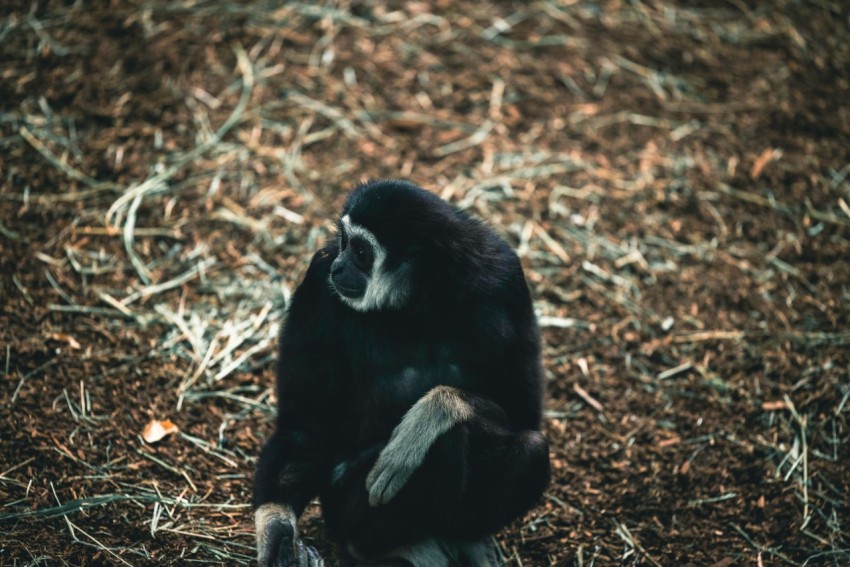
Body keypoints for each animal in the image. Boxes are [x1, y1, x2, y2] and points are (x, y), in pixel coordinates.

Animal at [252, 180, 548, 564]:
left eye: (361, 251)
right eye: (343, 241)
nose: (339, 266)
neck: (420, 302)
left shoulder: (507, 281)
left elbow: (523, 412)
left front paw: (436, 410)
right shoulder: (318, 283)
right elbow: (303, 429)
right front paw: (276, 527)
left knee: (528, 449)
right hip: (341, 509)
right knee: (445, 446)